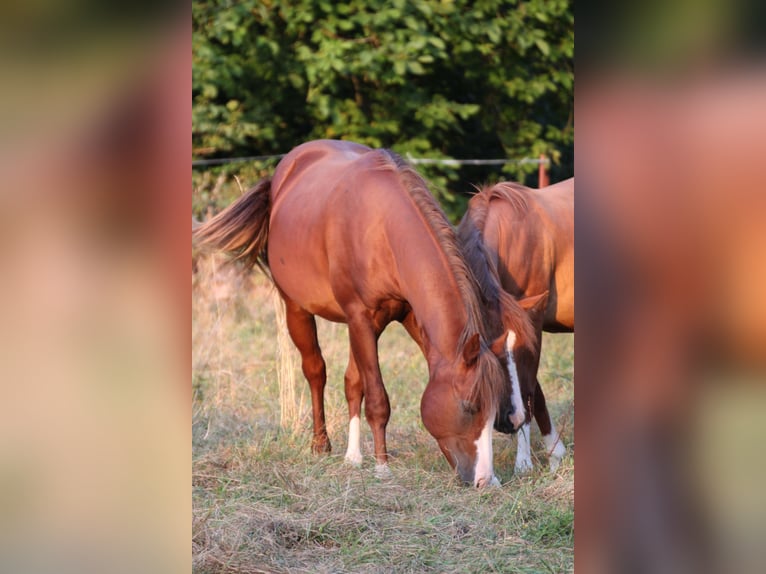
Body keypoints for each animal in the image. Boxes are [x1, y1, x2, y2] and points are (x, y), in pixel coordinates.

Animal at [195, 142, 536, 488]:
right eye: (470, 407)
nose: (485, 481)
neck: (384, 229)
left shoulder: (405, 317)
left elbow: (358, 384)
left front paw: (360, 458)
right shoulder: (360, 317)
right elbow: (376, 399)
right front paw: (382, 466)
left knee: (350, 381)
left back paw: (351, 454)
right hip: (297, 309)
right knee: (315, 371)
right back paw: (321, 444)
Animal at [460, 178, 572, 474]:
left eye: (526, 352)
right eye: (489, 353)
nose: (510, 420)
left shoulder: (533, 321)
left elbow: (530, 387)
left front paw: (524, 462)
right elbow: (535, 390)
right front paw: (554, 452)